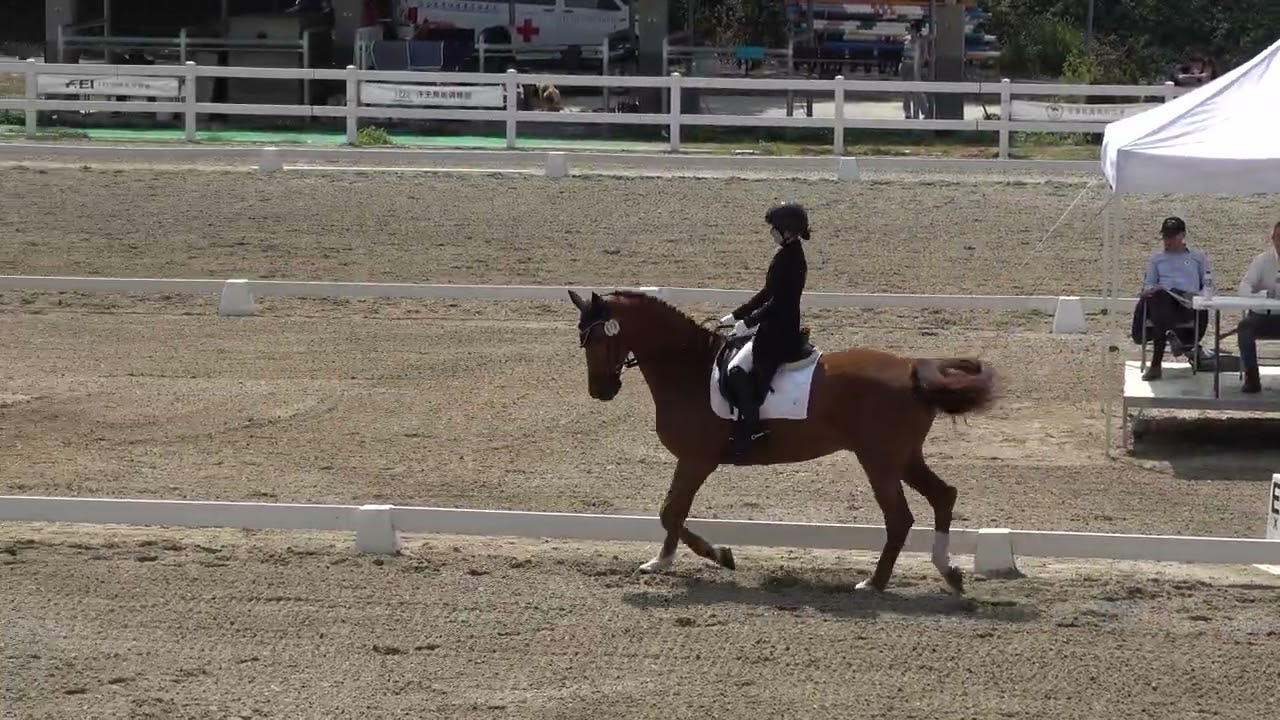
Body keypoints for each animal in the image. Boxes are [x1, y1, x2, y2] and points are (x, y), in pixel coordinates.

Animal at [567, 288, 997, 594]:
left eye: (597, 340)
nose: (600, 391)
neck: (689, 369)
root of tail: (912, 369)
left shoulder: (696, 459)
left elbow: (671, 511)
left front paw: (720, 556)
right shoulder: (690, 460)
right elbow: (673, 511)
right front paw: (661, 562)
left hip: (879, 461)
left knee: (900, 518)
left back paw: (874, 583)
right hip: (902, 457)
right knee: (943, 496)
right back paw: (949, 574)